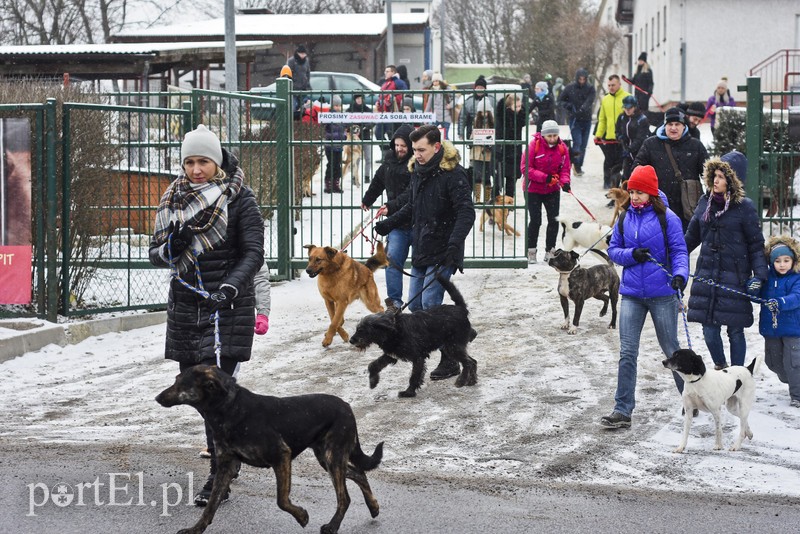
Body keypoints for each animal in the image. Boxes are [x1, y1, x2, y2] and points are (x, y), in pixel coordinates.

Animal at [155, 366, 384, 534]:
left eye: (180, 383)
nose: (157, 398)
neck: (229, 409)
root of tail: (346, 405)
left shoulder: (281, 456)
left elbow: (282, 500)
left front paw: (302, 516)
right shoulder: (226, 466)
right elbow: (211, 504)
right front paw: (195, 529)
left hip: (332, 456)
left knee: (345, 496)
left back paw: (333, 526)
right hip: (326, 458)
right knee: (359, 473)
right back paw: (373, 507)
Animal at [348, 278, 476, 400]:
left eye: (361, 330)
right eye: (357, 329)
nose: (351, 340)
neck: (393, 330)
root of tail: (461, 309)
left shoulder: (418, 358)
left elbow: (414, 376)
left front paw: (408, 392)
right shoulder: (391, 354)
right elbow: (373, 365)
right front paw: (373, 381)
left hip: (452, 347)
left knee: (468, 362)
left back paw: (461, 380)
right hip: (454, 347)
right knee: (473, 361)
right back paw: (472, 381)